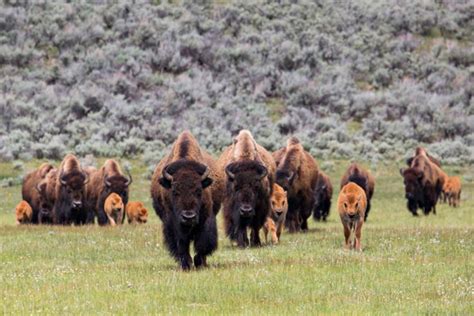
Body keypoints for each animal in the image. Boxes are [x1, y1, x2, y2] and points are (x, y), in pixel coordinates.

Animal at [150, 130, 222, 270]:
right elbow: (181, 243)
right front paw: (186, 264)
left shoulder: (206, 217)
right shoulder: (173, 222)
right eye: (174, 191)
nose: (189, 217)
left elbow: (203, 242)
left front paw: (199, 262)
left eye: (199, 191)